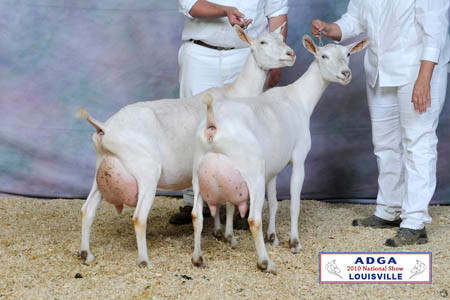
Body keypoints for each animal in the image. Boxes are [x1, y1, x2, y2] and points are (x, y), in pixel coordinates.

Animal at [77, 22, 296, 268]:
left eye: (281, 38)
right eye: (263, 42)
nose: (290, 54)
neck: (236, 93)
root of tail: (105, 129)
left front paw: (219, 231)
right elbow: (229, 203)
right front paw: (228, 235)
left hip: (102, 168)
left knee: (87, 210)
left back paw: (86, 254)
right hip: (146, 171)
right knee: (139, 217)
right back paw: (145, 261)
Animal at [191, 34, 370, 274]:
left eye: (348, 54)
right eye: (324, 56)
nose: (346, 74)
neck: (299, 98)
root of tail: (213, 125)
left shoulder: (273, 168)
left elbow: (275, 202)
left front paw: (273, 237)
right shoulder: (298, 158)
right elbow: (294, 203)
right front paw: (294, 242)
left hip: (198, 172)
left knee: (196, 215)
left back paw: (198, 258)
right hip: (252, 172)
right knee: (254, 218)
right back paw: (265, 263)